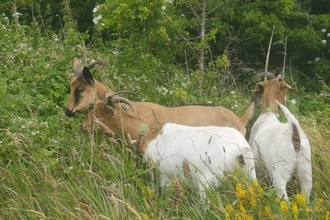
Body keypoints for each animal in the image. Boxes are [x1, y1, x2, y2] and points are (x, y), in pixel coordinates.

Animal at [83, 95, 258, 199]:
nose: (82, 126)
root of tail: (240, 148)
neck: (147, 132)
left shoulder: (162, 172)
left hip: (207, 179)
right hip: (249, 175)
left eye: (98, 115)